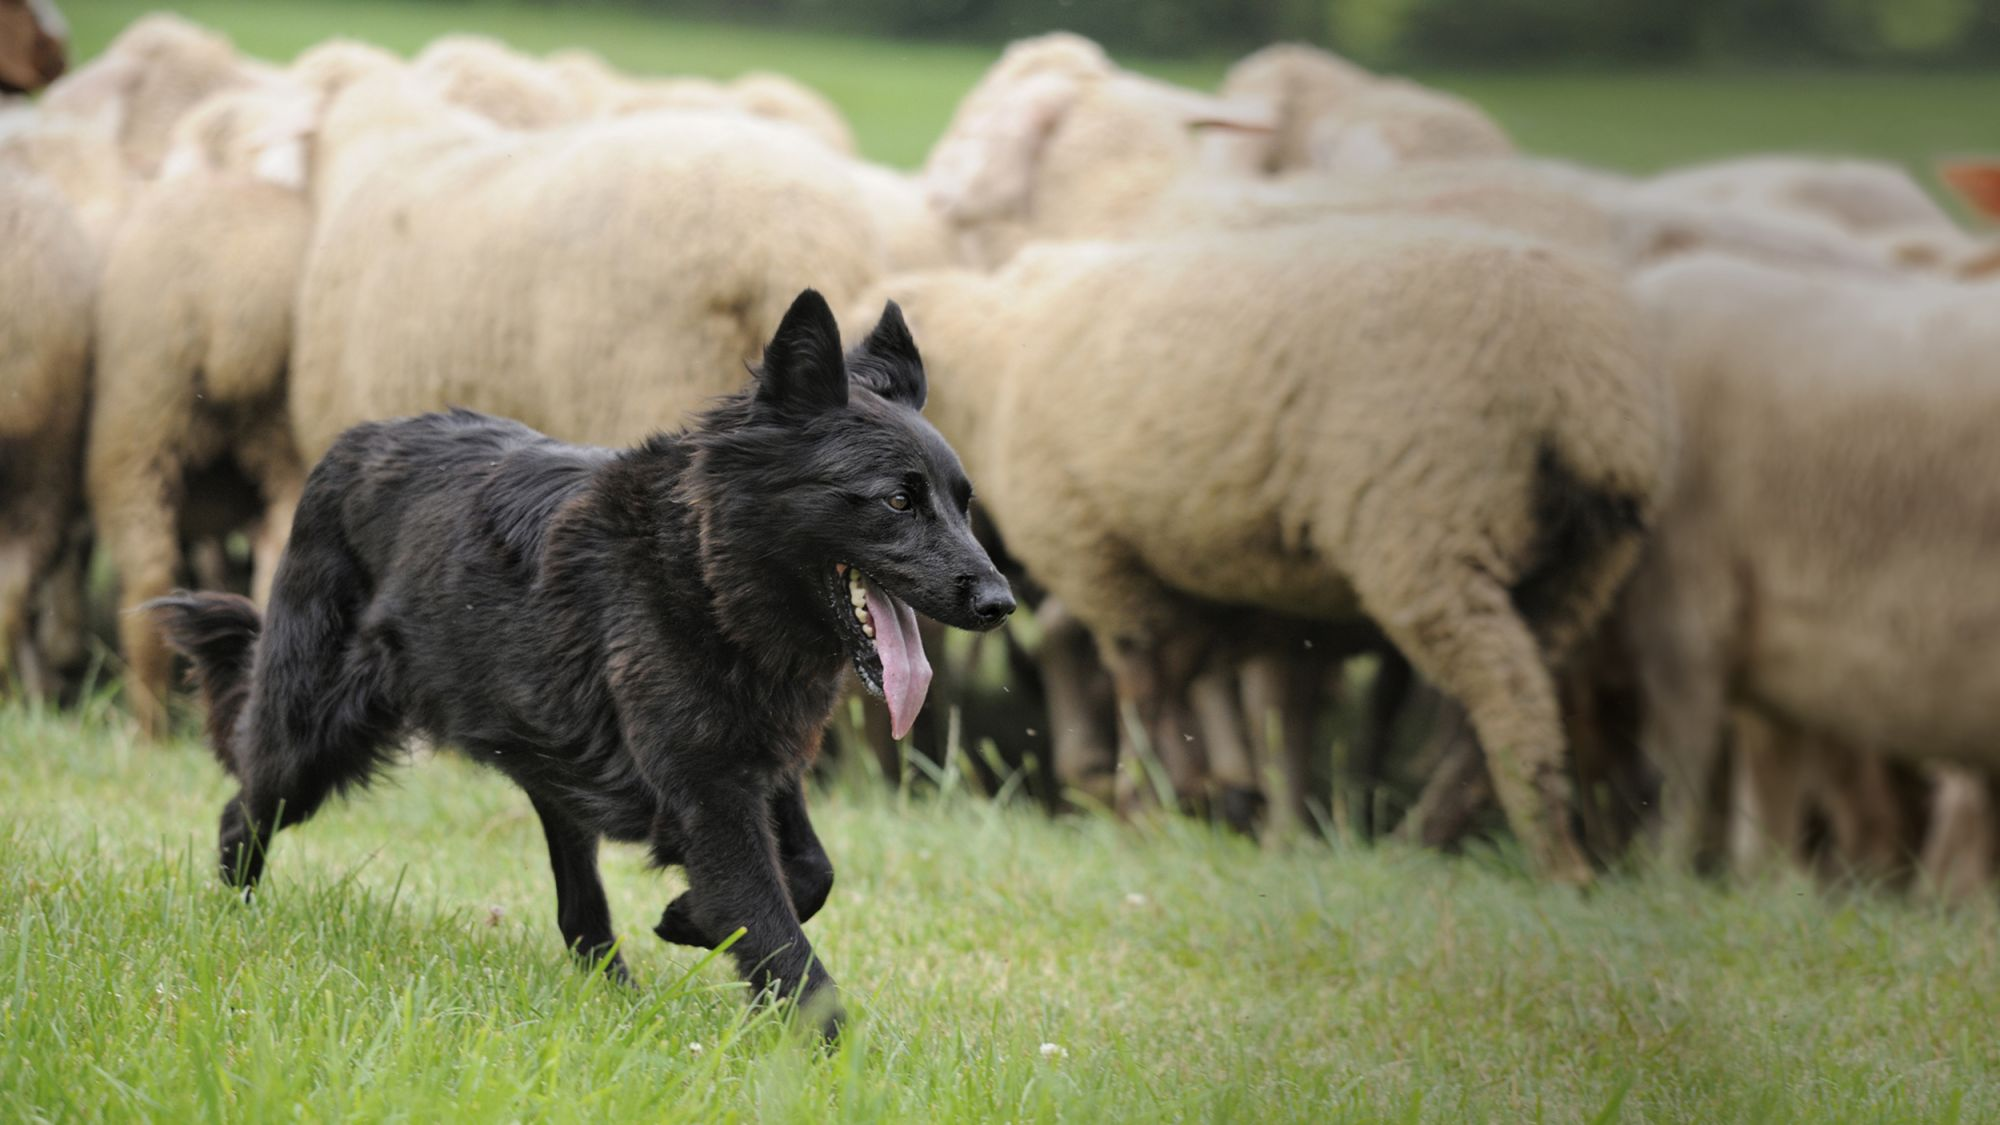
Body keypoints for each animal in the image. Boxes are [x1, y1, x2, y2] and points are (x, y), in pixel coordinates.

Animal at [152, 290, 1016, 1032]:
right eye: (898, 500)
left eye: (962, 502)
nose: (1001, 603)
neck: (703, 571)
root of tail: (347, 443)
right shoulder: (711, 791)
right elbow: (780, 937)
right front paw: (830, 1051)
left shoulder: (759, 766)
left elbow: (811, 872)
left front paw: (687, 918)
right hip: (311, 736)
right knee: (241, 810)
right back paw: (233, 922)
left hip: (548, 758)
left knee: (580, 912)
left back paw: (616, 998)